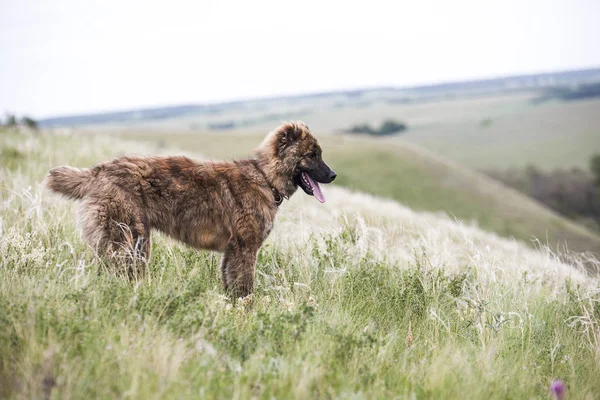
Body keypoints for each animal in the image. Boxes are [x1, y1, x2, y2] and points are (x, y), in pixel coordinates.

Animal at [45, 122, 338, 296]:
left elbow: (231, 285)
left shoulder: (232, 251)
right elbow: (245, 287)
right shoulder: (245, 247)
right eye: (312, 155)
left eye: (320, 153)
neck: (265, 177)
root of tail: (99, 171)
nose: (333, 175)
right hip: (131, 242)